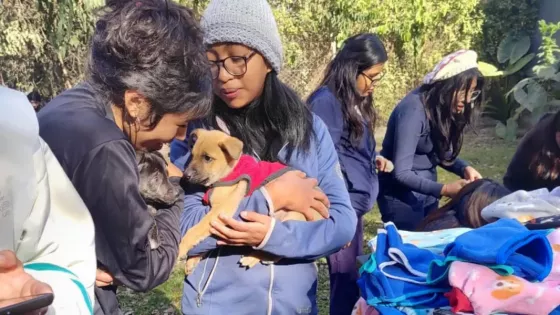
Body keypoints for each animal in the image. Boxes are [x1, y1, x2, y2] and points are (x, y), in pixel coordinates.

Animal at [179, 130, 324, 276]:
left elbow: (196, 229)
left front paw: (181, 248)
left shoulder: (223, 208)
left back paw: (253, 257)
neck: (230, 170)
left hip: (295, 216)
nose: (185, 176)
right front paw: (193, 258)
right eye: (192, 155)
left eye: (207, 158)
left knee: (281, 249)